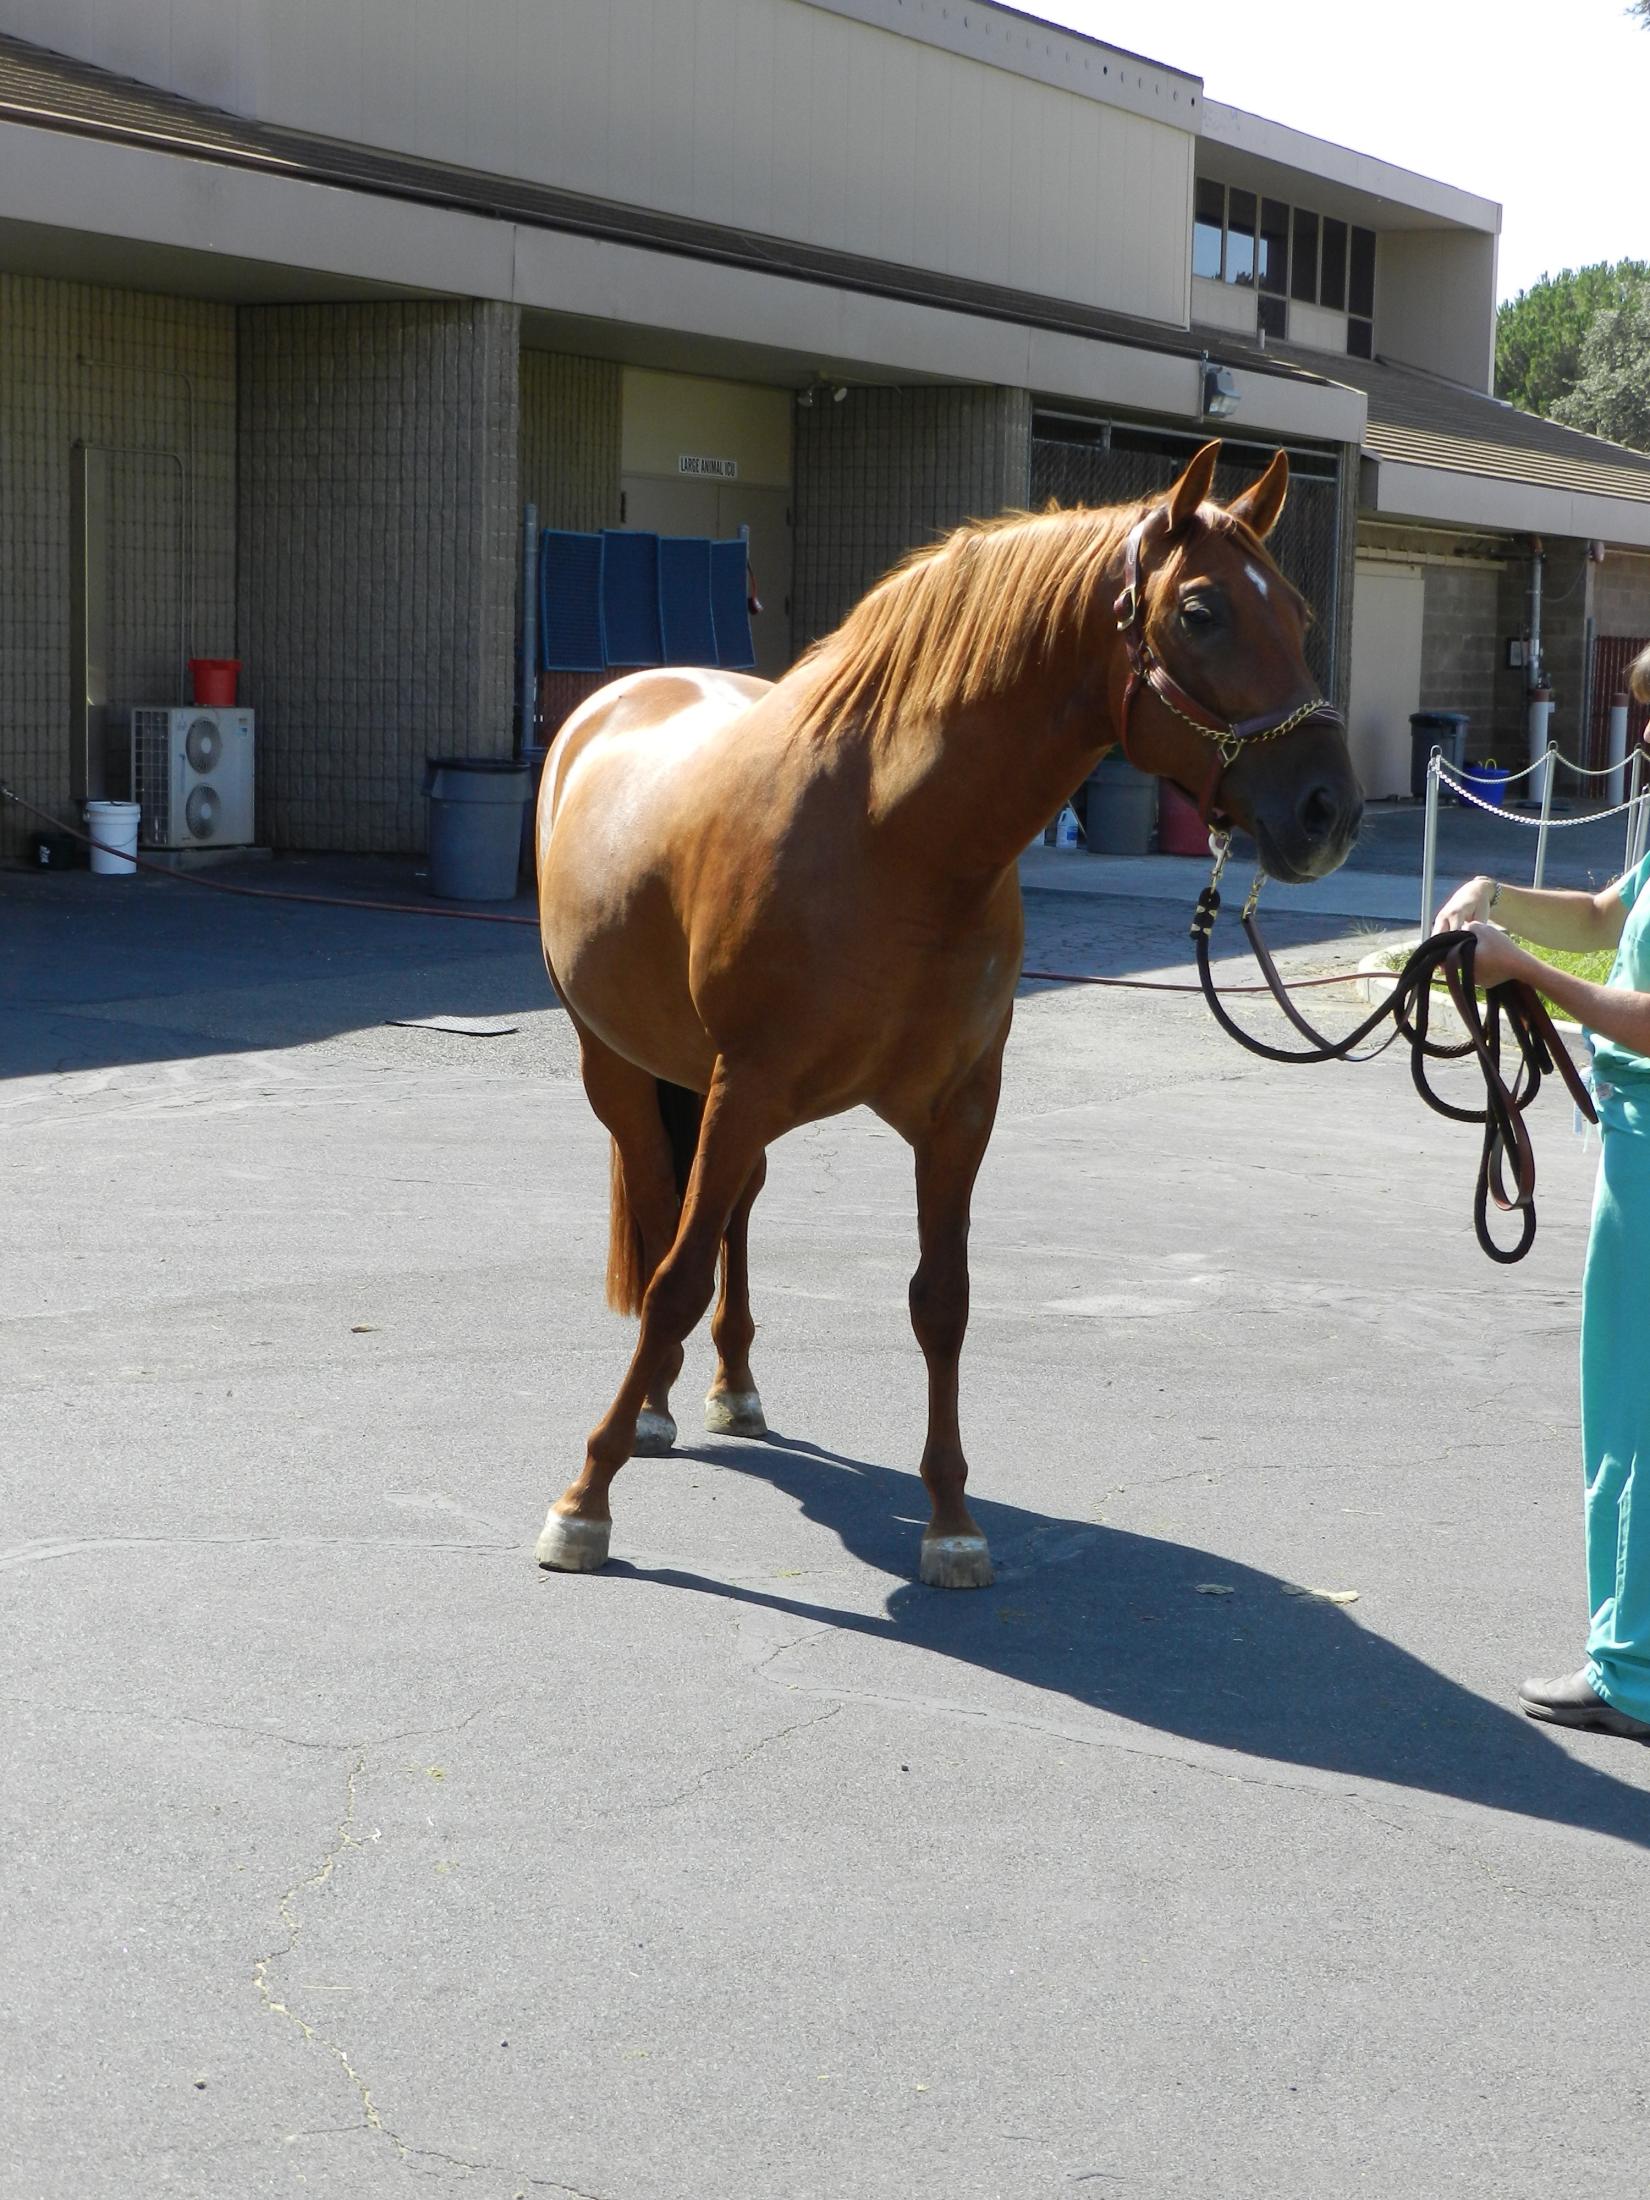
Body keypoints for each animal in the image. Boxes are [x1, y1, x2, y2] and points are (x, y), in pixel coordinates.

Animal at [536, 442, 1364, 1584]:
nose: (1330, 810)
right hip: (622, 1069)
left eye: (1297, 610)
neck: (892, 836)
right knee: (668, 1212)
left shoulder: (957, 1109)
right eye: (1201, 612)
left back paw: (732, 1388)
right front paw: (586, 1497)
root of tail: (609, 702)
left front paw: (951, 1518)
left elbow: (943, 1299)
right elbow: (671, 1280)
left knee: (734, 1214)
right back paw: (655, 1407)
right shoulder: (746, 1084)